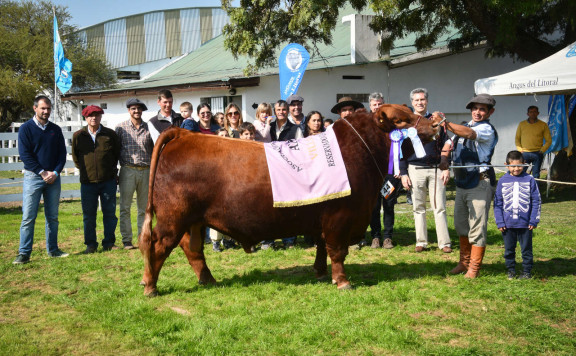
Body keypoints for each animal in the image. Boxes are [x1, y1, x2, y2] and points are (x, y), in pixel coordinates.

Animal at [140, 104, 440, 296]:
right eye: (400, 121)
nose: (435, 124)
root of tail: (183, 134)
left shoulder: (324, 217)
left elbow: (321, 247)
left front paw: (320, 272)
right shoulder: (340, 217)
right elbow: (337, 251)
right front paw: (342, 282)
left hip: (193, 221)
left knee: (192, 249)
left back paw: (209, 281)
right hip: (173, 218)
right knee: (157, 246)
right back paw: (151, 286)